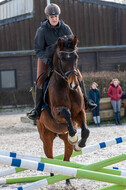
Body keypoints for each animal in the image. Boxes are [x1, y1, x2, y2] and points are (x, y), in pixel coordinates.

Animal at [36, 34, 89, 184]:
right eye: (62, 58)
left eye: (76, 56)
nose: (74, 84)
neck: (66, 87)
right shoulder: (55, 112)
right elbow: (66, 112)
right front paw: (73, 135)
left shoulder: (80, 112)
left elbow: (85, 130)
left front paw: (79, 144)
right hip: (46, 138)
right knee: (50, 159)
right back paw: (53, 178)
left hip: (62, 140)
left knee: (66, 160)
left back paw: (67, 180)